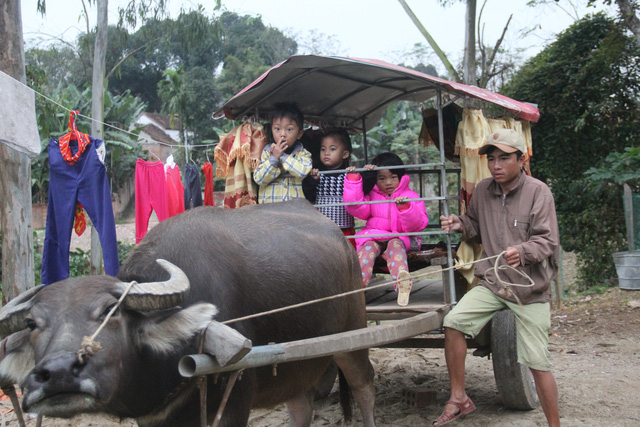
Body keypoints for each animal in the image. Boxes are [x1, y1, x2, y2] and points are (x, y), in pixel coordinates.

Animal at [0, 201, 378, 427]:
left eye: (111, 311)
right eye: (32, 323)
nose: (58, 374)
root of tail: (341, 236)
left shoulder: (233, 403)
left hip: (353, 333)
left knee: (364, 385)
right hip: (293, 361)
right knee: (300, 406)